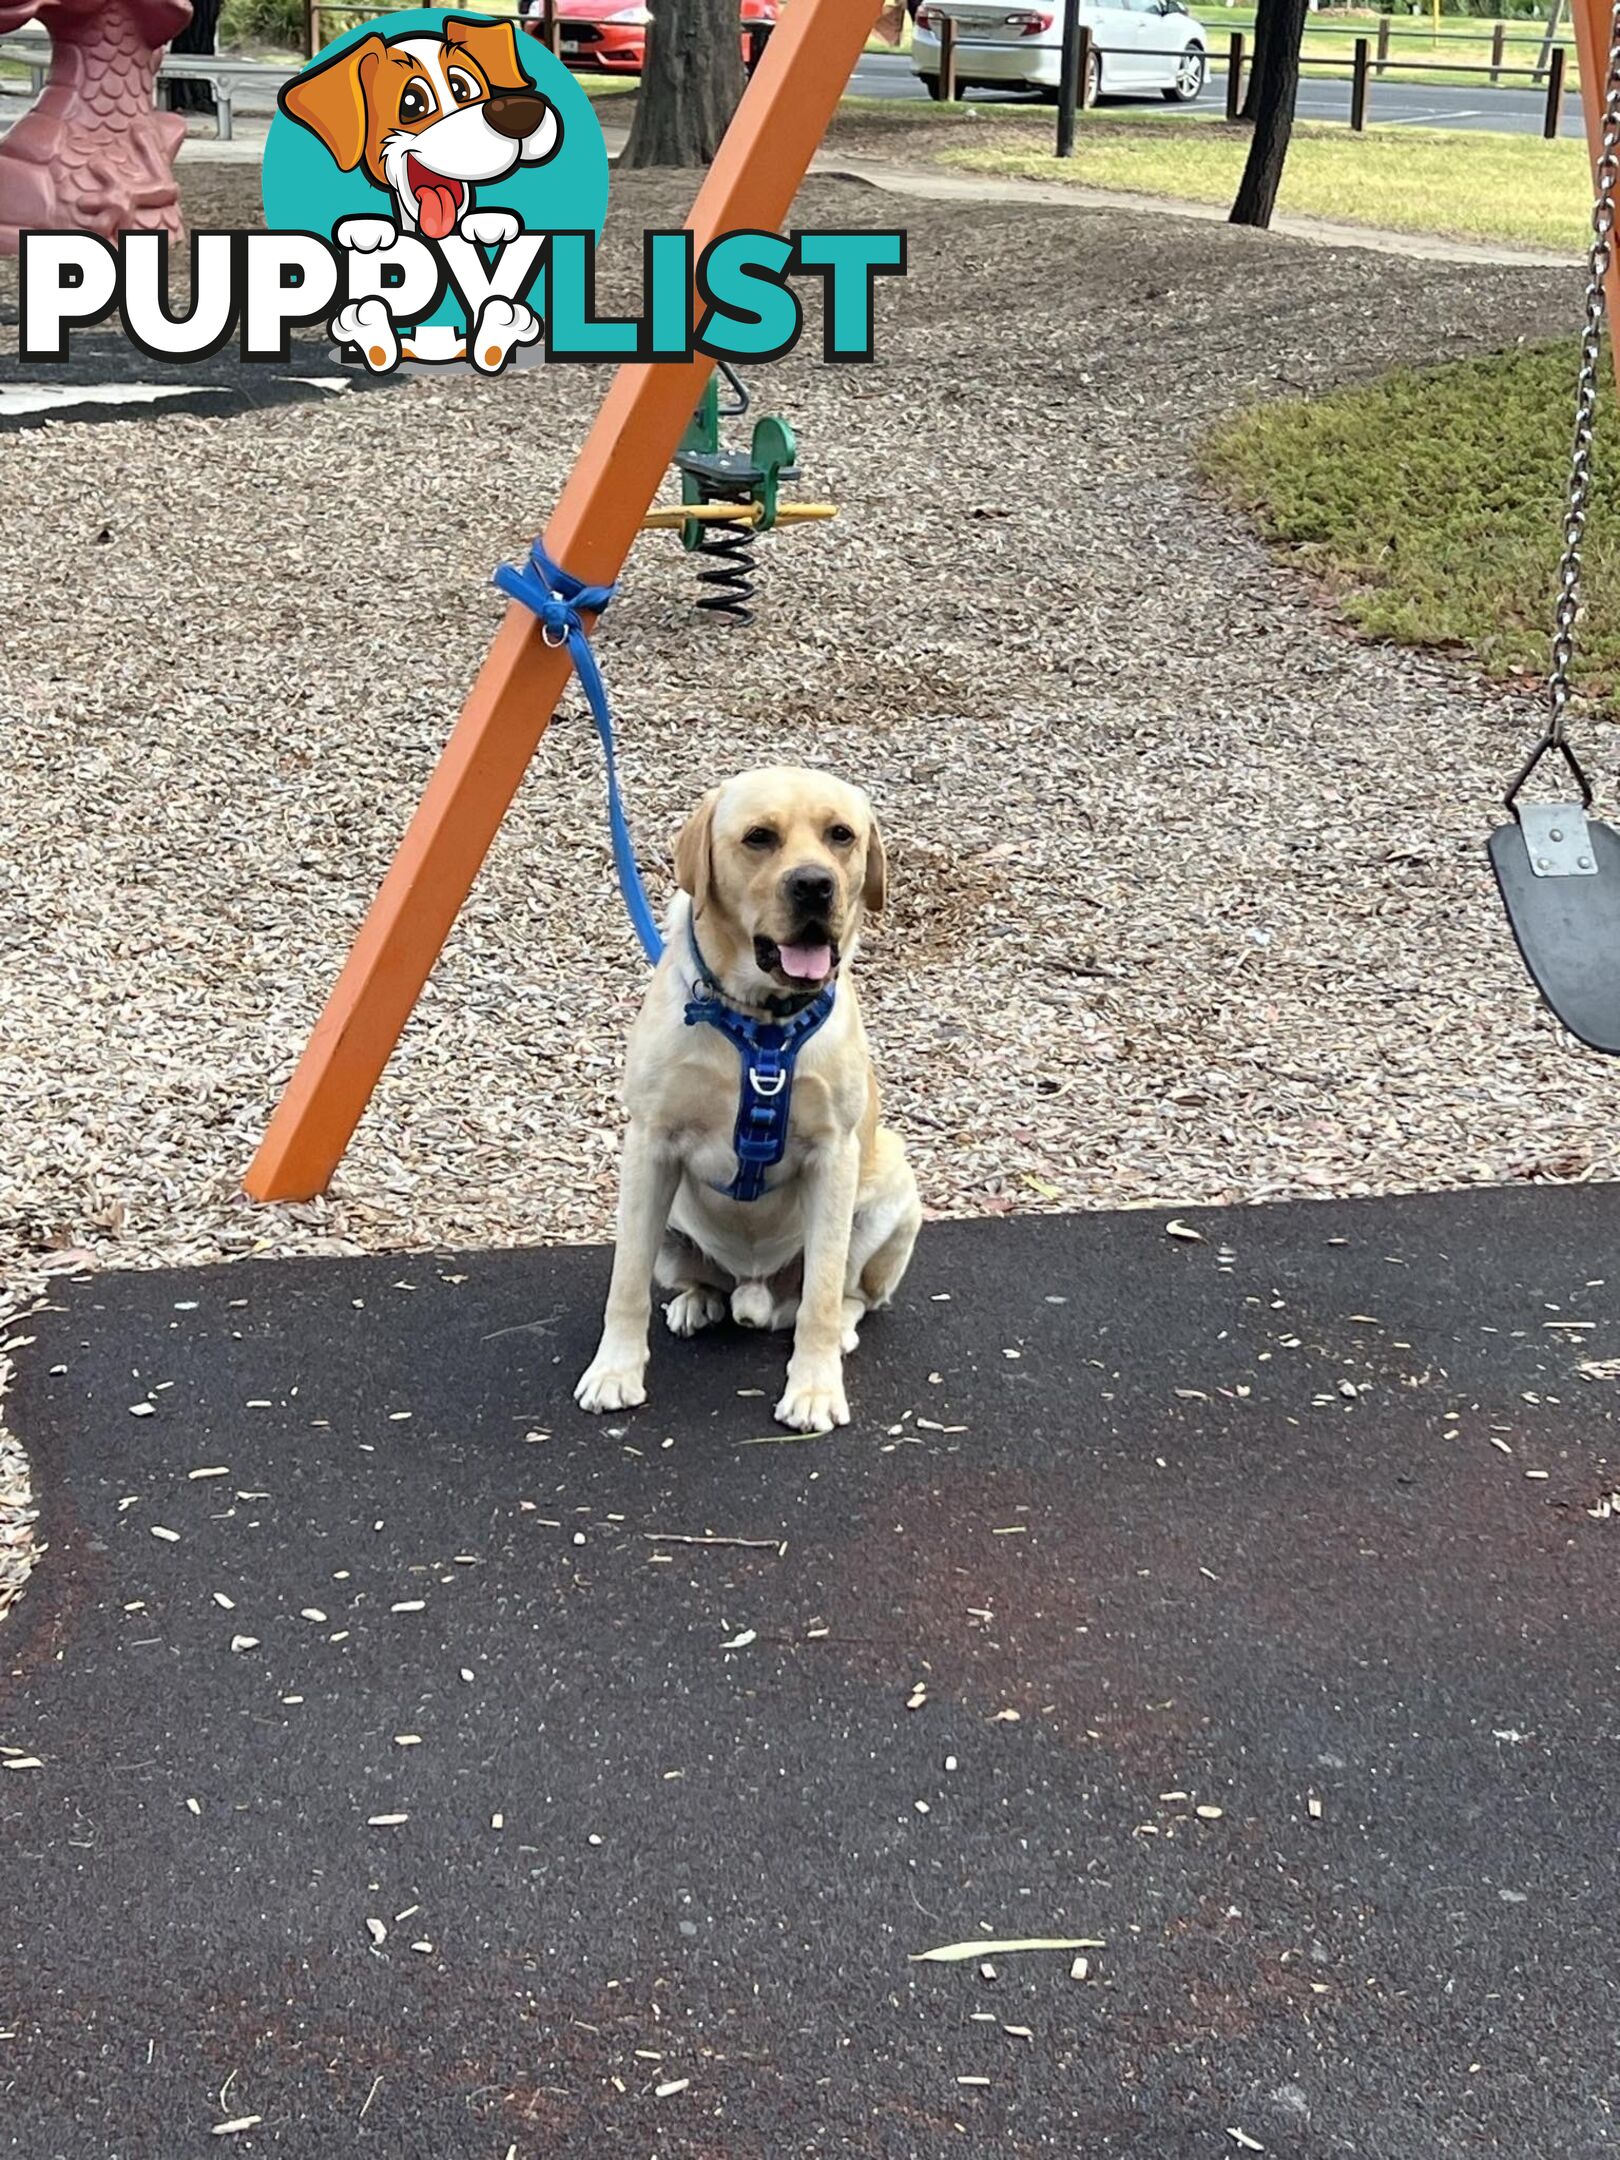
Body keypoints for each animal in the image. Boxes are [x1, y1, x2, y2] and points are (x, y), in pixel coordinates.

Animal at [578, 764, 920, 1434]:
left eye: (841, 835)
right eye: (759, 837)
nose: (814, 886)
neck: (761, 1023)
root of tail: (756, 1291)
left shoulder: (833, 1156)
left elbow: (819, 1298)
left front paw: (813, 1389)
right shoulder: (649, 1146)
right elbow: (625, 1283)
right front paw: (615, 1371)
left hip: (889, 1189)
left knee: (848, 1295)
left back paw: (836, 1329)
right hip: (671, 1226)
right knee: (698, 1279)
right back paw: (699, 1301)